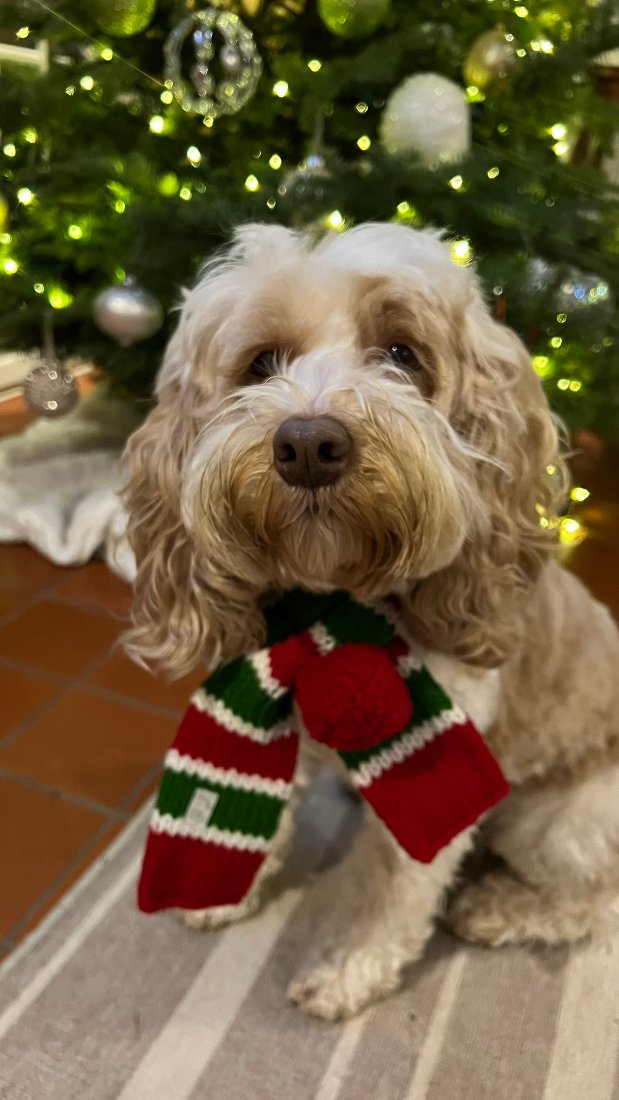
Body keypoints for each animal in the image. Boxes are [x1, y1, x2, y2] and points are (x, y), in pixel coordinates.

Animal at [123, 223, 619, 1020]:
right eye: (260, 362)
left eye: (402, 353)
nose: (307, 444)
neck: (331, 609)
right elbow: (266, 805)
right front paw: (228, 890)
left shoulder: (435, 765)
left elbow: (394, 888)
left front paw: (347, 971)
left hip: (563, 820)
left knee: (594, 900)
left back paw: (500, 908)